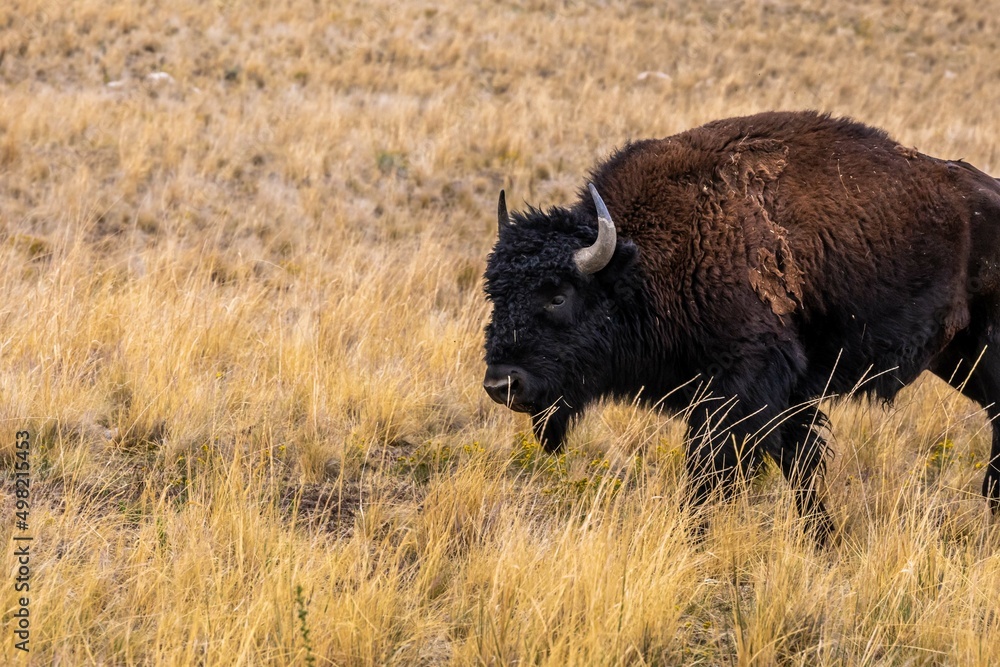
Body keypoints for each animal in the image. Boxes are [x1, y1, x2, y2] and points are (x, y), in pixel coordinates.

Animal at [482, 109, 1000, 536]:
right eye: (494, 293)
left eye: (558, 295)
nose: (501, 383)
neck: (645, 263)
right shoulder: (787, 395)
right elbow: (799, 463)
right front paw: (822, 541)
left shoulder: (740, 387)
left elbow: (712, 472)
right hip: (957, 360)